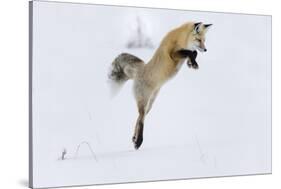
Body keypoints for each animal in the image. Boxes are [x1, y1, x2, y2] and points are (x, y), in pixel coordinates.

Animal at [108, 21, 211, 149]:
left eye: (204, 40)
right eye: (198, 39)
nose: (205, 49)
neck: (182, 38)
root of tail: (140, 70)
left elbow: (193, 52)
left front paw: (191, 63)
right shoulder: (173, 54)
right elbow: (190, 52)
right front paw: (193, 62)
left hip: (150, 104)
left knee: (139, 118)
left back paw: (134, 138)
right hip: (144, 102)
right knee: (141, 120)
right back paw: (139, 141)